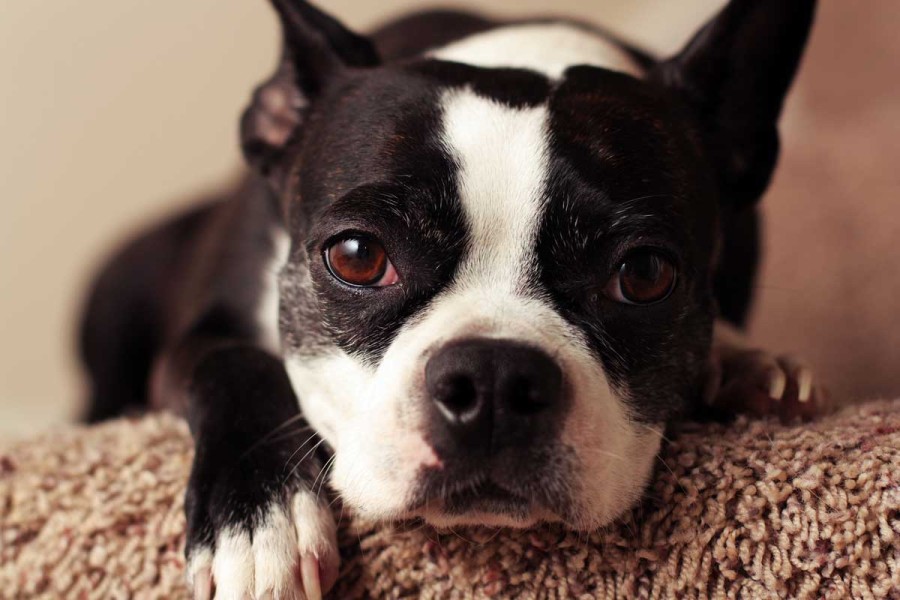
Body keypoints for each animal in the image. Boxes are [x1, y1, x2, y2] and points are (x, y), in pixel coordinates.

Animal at [78, 1, 822, 598]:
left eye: (642, 274)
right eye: (357, 256)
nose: (493, 378)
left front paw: (746, 361)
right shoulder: (198, 337)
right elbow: (233, 365)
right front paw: (263, 525)